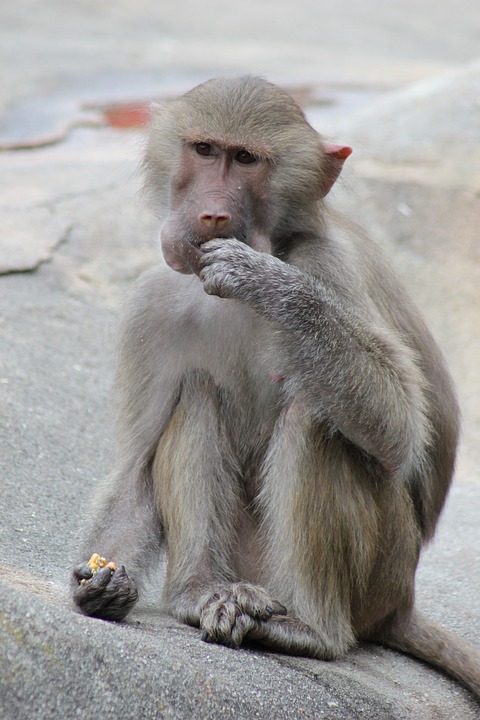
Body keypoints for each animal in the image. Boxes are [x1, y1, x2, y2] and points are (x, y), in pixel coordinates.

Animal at [72, 76, 480, 701]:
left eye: (246, 160)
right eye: (205, 150)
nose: (211, 213)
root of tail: (401, 603)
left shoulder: (329, 265)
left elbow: (399, 430)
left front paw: (264, 281)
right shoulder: (152, 305)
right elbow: (137, 466)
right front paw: (100, 585)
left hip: (381, 570)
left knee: (313, 411)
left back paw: (310, 630)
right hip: (250, 558)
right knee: (198, 396)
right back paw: (198, 591)